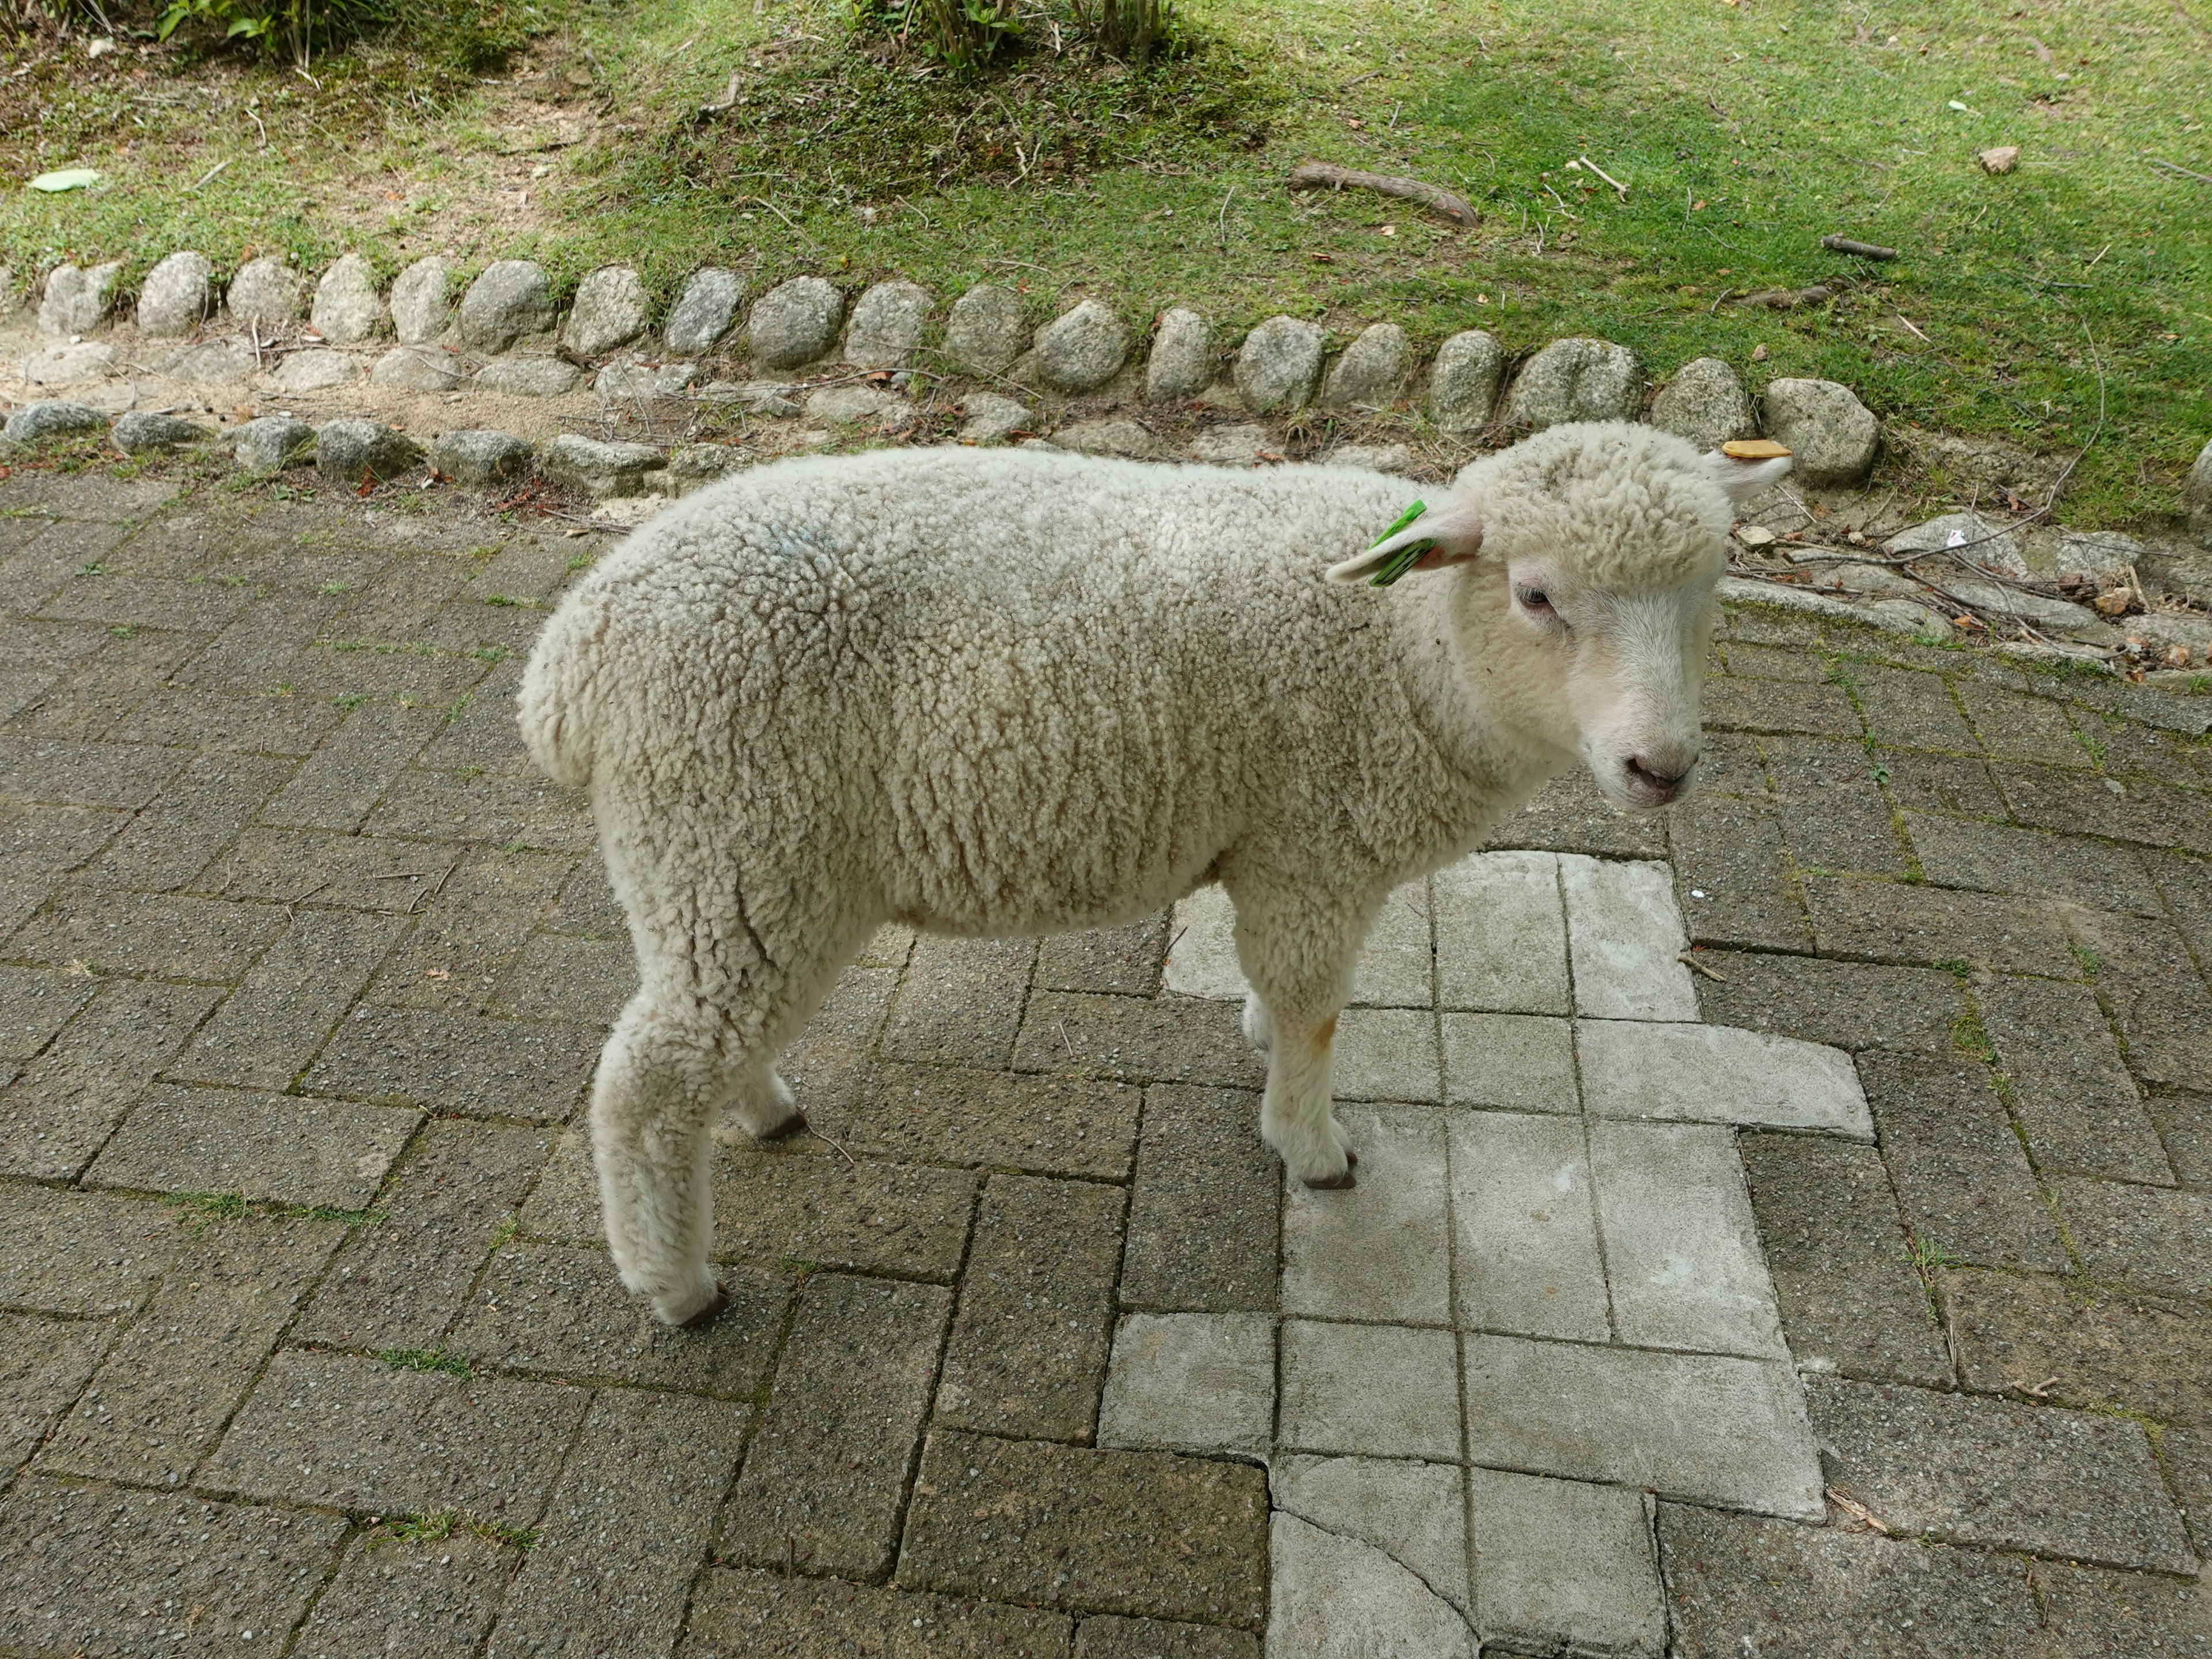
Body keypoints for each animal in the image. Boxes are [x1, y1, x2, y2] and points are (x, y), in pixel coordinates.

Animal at [522, 422, 1796, 1336]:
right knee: (644, 1083)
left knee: (699, 1036)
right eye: (1535, 594)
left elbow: (1281, 996)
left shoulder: (1284, 858)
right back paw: (678, 1287)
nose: (1661, 768)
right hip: (735, 834)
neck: (1408, 656)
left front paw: (1258, 1044)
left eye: (1709, 595)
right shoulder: (1312, 850)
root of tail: (566, 663)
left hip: (717, 871)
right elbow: (1314, 1011)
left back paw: (760, 1110)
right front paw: (1312, 1146)